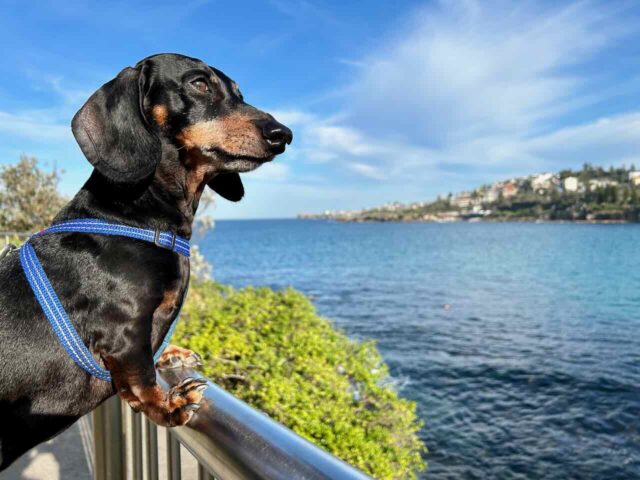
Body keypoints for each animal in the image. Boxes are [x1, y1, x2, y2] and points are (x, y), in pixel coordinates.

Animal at [0, 53, 292, 468]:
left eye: (239, 92)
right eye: (199, 84)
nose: (283, 134)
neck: (131, 216)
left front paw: (171, 352)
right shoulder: (125, 329)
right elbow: (139, 376)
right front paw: (167, 405)